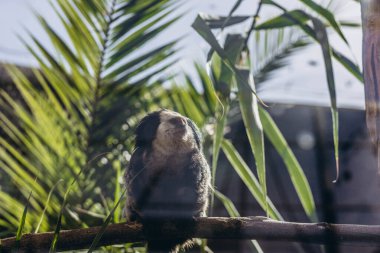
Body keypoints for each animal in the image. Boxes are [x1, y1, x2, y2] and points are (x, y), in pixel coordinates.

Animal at [124, 109, 211, 253]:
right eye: (173, 121)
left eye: (184, 121)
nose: (181, 121)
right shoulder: (136, 160)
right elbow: (137, 193)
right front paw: (150, 221)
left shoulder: (198, 162)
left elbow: (196, 191)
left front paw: (184, 218)